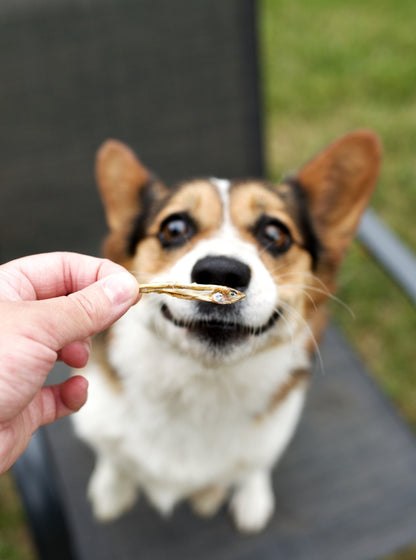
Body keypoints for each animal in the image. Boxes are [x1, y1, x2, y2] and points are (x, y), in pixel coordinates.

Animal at [72, 129, 380, 532]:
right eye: (174, 228)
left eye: (276, 233)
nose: (221, 271)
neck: (203, 387)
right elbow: (114, 457)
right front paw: (112, 489)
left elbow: (251, 467)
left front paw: (243, 497)